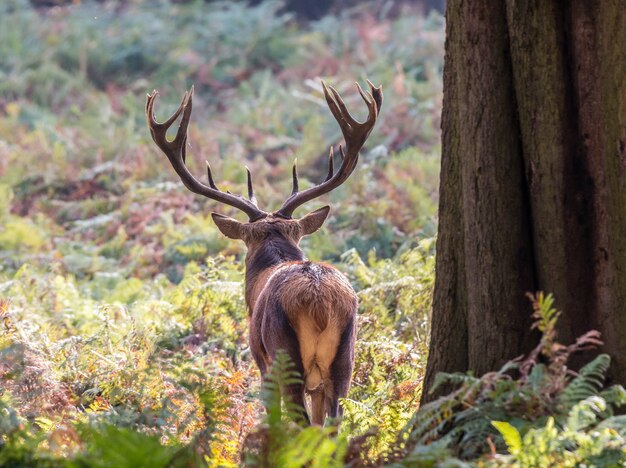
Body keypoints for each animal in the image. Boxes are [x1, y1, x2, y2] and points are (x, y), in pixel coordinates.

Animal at [146, 79, 380, 424]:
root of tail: (320, 303)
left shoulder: (261, 360)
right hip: (345, 358)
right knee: (333, 422)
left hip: (284, 353)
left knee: (301, 421)